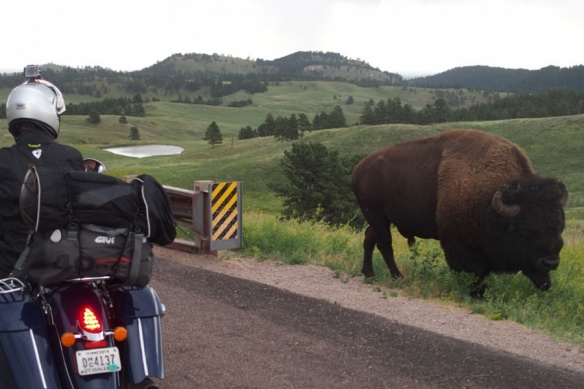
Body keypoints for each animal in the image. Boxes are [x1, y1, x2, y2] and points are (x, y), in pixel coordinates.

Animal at [350, 128, 568, 294]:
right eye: (524, 229)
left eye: (560, 226)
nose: (550, 262)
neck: (488, 200)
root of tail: (358, 168)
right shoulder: (458, 244)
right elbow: (471, 270)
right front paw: (477, 293)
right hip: (377, 215)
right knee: (385, 244)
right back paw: (398, 277)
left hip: (379, 219)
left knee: (370, 238)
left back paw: (369, 273)